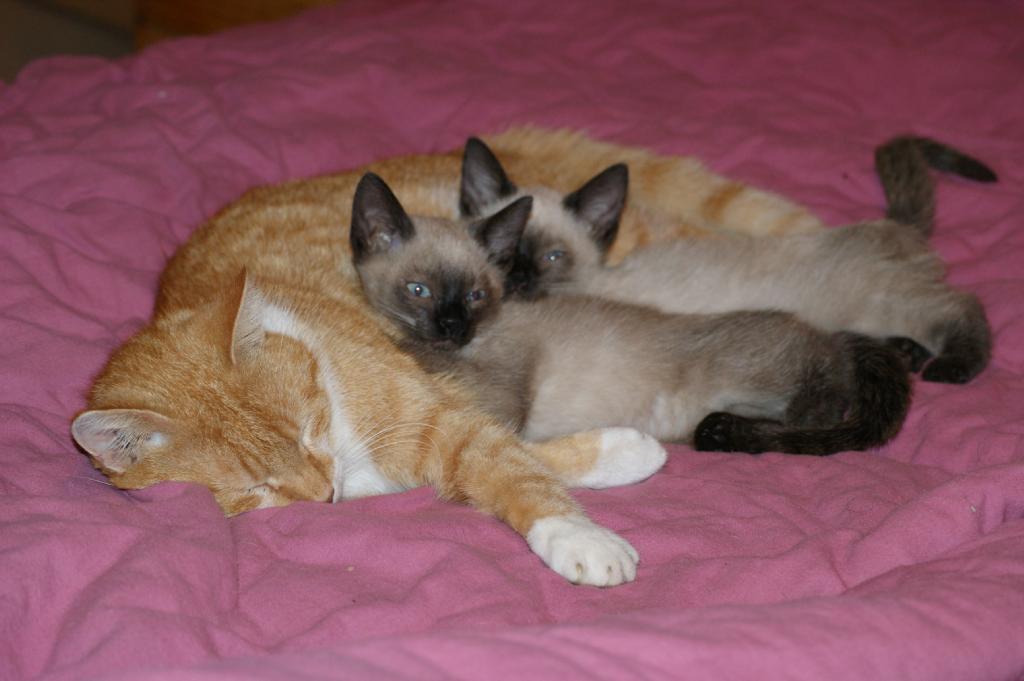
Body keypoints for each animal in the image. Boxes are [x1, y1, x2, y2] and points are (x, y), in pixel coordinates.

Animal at [349, 172, 912, 455]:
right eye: (419, 290)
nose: (451, 327)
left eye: (474, 296)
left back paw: (733, 433)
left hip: (766, 378)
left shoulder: (502, 401)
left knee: (818, 411)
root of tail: (834, 335)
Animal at [457, 135, 996, 384]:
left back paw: (950, 366)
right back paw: (910, 355)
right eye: (502, 253)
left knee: (962, 306)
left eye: (552, 256)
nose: (518, 277)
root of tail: (889, 226)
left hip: (881, 305)